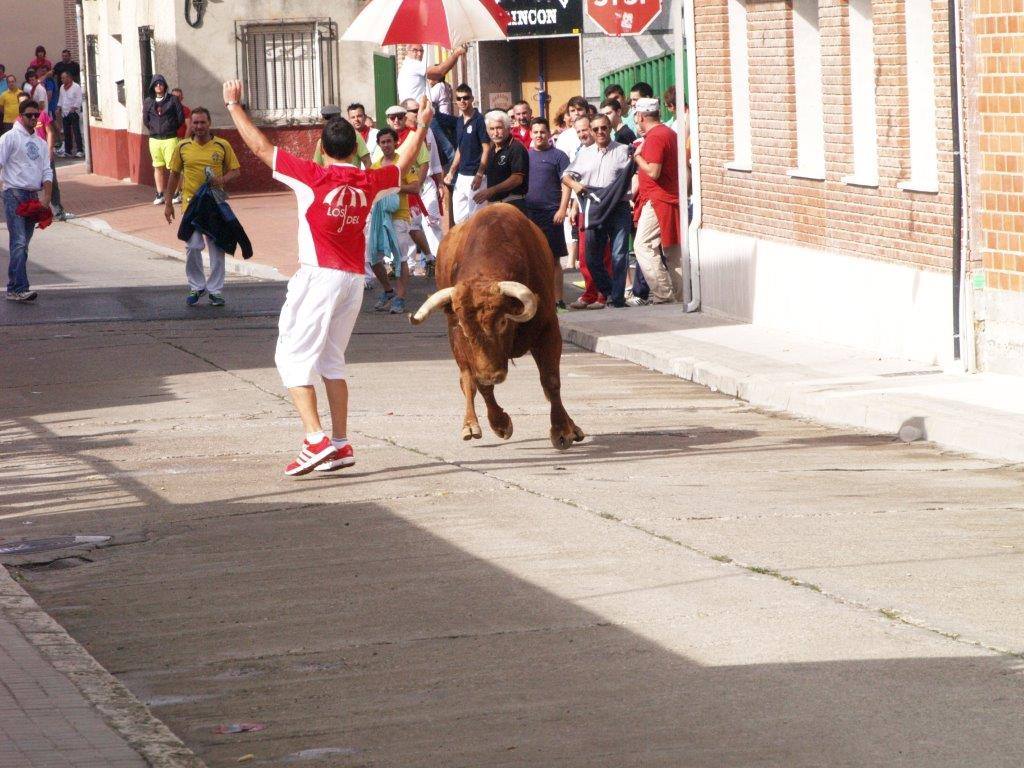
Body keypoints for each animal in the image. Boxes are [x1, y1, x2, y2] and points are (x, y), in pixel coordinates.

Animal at [407, 204, 585, 450]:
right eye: (464, 327)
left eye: (502, 322)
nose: (491, 375)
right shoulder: (464, 343)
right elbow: (480, 386)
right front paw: (500, 423)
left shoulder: (548, 328)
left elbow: (550, 380)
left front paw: (561, 430)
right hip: (456, 346)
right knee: (467, 381)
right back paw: (470, 425)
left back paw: (573, 427)